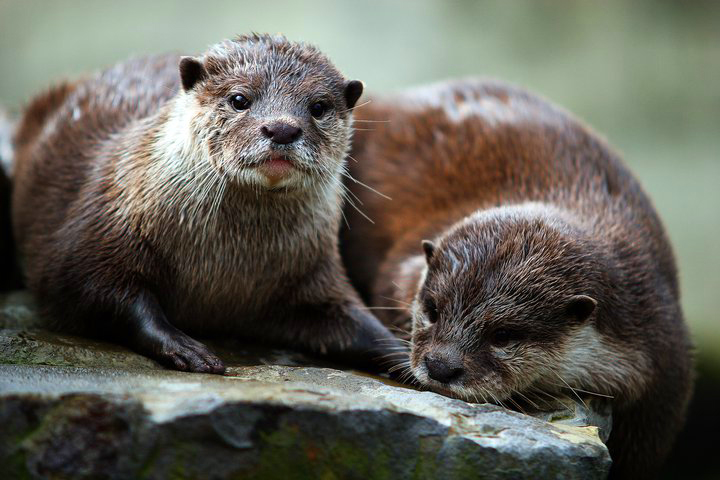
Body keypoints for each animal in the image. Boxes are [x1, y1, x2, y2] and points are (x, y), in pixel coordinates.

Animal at [11, 34, 404, 374]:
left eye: (319, 106)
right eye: (239, 99)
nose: (282, 129)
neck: (225, 267)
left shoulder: (315, 271)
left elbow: (356, 324)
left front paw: (405, 358)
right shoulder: (99, 231)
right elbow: (95, 290)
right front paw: (184, 347)